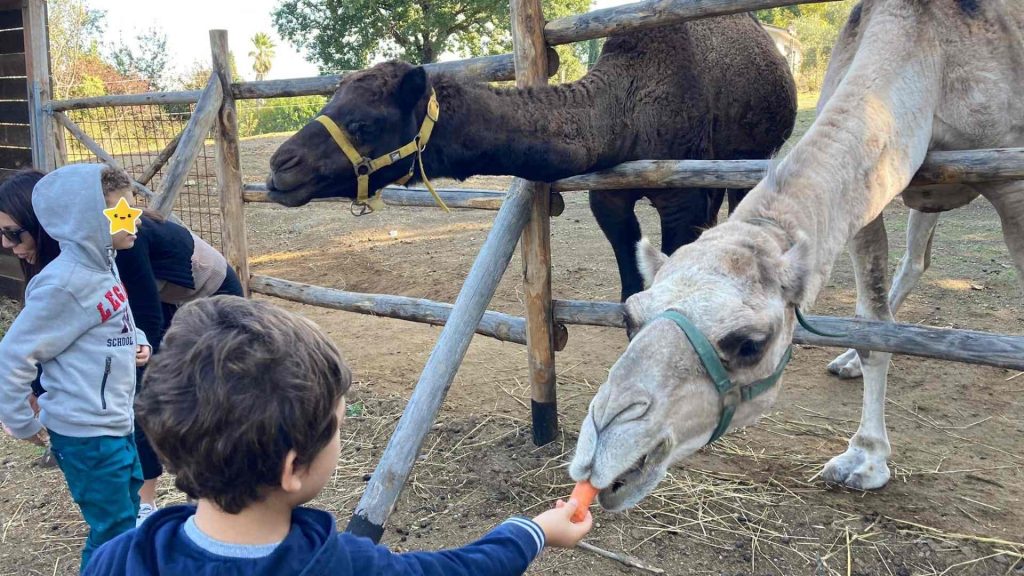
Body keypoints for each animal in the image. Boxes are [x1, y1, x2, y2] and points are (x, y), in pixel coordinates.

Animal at [268, 14, 794, 301]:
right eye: (330, 104)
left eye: (364, 124)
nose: (280, 167)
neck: (625, 113)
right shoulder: (608, 196)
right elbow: (631, 292)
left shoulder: (679, 193)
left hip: (753, 154)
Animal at [569, 0, 1024, 508]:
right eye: (630, 317)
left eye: (749, 344)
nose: (601, 448)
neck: (926, 46)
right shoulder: (869, 195)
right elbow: (871, 325)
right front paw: (865, 456)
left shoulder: (1012, 180)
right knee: (915, 263)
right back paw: (846, 361)